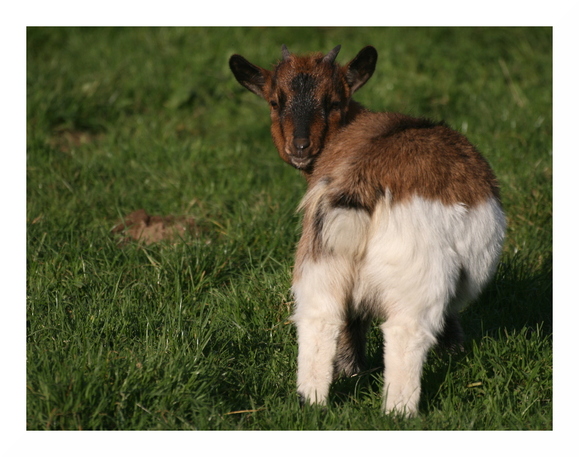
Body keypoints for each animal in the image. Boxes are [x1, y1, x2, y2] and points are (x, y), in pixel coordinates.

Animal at [229, 44, 506, 416]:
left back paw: (313, 399)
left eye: (333, 102)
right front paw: (453, 352)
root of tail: (361, 182)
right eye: (275, 102)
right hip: (415, 272)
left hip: (320, 254)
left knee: (320, 318)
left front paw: (352, 372)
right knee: (405, 331)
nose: (300, 146)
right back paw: (399, 410)